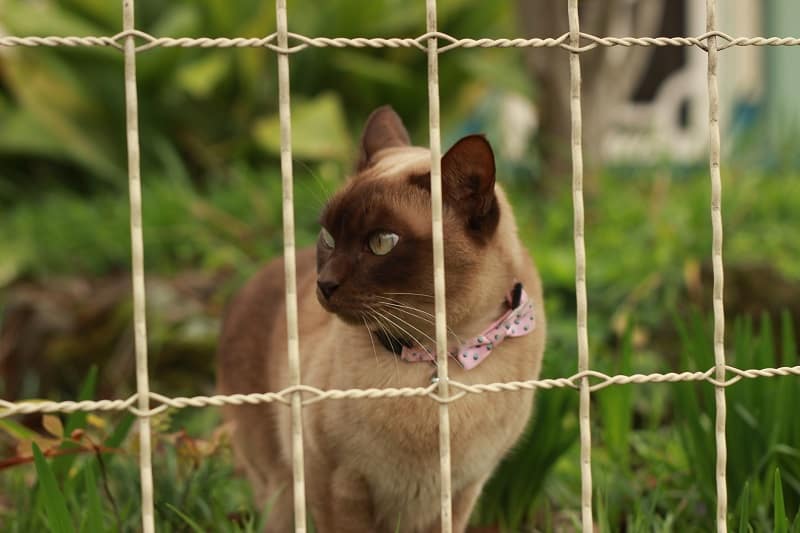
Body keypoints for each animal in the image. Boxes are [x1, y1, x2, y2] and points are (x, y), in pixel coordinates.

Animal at [216, 107, 548, 532]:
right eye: (328, 237)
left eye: (381, 243)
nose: (324, 285)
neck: (439, 357)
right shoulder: (336, 483)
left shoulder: (461, 490)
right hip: (282, 490)